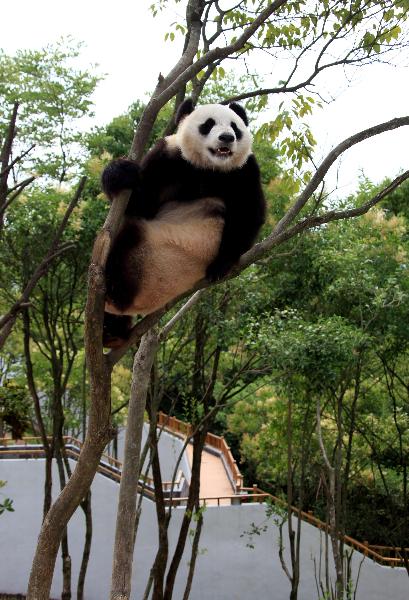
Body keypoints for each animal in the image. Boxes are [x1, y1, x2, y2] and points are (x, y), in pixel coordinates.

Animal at [101, 99, 264, 346]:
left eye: (235, 127)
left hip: (156, 262)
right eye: (208, 124)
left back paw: (112, 293)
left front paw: (221, 265)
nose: (227, 138)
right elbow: (141, 204)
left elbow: (248, 214)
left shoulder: (244, 170)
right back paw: (110, 331)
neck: (209, 167)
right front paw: (119, 173)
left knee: (128, 238)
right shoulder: (168, 159)